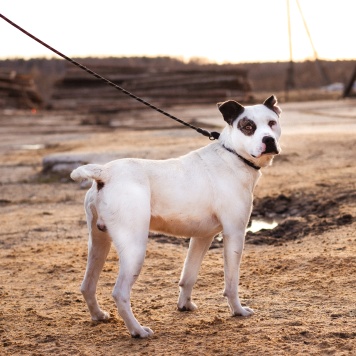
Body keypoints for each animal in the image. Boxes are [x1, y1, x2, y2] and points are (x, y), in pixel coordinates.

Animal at [70, 94, 280, 336]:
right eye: (248, 127)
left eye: (272, 123)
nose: (269, 140)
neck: (233, 156)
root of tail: (105, 173)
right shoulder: (234, 234)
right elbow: (231, 282)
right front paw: (238, 310)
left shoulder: (202, 237)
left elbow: (188, 276)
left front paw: (184, 305)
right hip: (134, 248)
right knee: (120, 293)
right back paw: (138, 331)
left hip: (98, 243)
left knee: (87, 285)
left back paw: (98, 315)